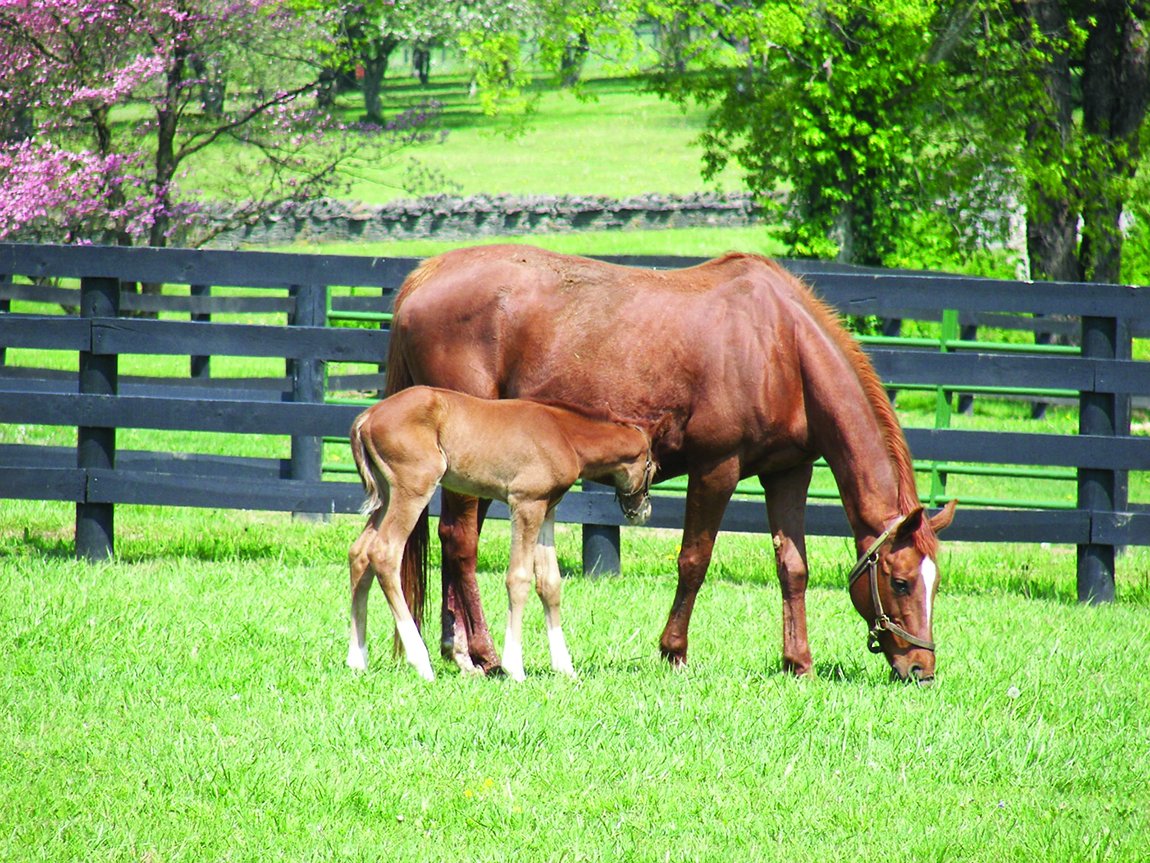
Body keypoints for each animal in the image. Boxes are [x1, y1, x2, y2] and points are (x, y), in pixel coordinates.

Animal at [346, 385, 655, 681]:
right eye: (652, 467)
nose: (642, 510)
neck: (563, 434)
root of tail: (367, 417)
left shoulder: (547, 508)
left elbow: (550, 583)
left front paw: (565, 667)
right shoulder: (526, 504)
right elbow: (518, 579)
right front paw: (515, 667)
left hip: (387, 495)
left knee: (360, 553)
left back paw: (357, 659)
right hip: (413, 488)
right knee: (384, 553)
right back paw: (420, 662)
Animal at [386, 245, 957, 684]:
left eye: (935, 584)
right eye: (901, 582)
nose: (921, 670)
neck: (781, 344)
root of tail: (424, 277)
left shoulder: (788, 472)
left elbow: (793, 567)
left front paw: (798, 662)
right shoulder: (717, 469)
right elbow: (694, 561)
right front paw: (674, 651)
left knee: (453, 540)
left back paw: (459, 652)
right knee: (462, 542)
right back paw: (484, 654)